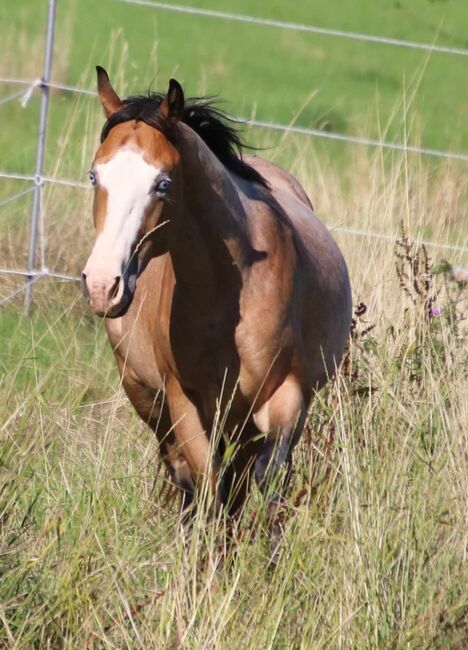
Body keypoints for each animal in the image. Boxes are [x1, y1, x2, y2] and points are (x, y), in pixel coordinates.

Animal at [81, 67, 352, 536]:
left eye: (163, 183)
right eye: (96, 176)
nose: (102, 284)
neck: (226, 294)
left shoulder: (285, 395)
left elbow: (265, 480)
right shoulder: (184, 400)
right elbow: (208, 483)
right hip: (146, 397)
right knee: (185, 474)